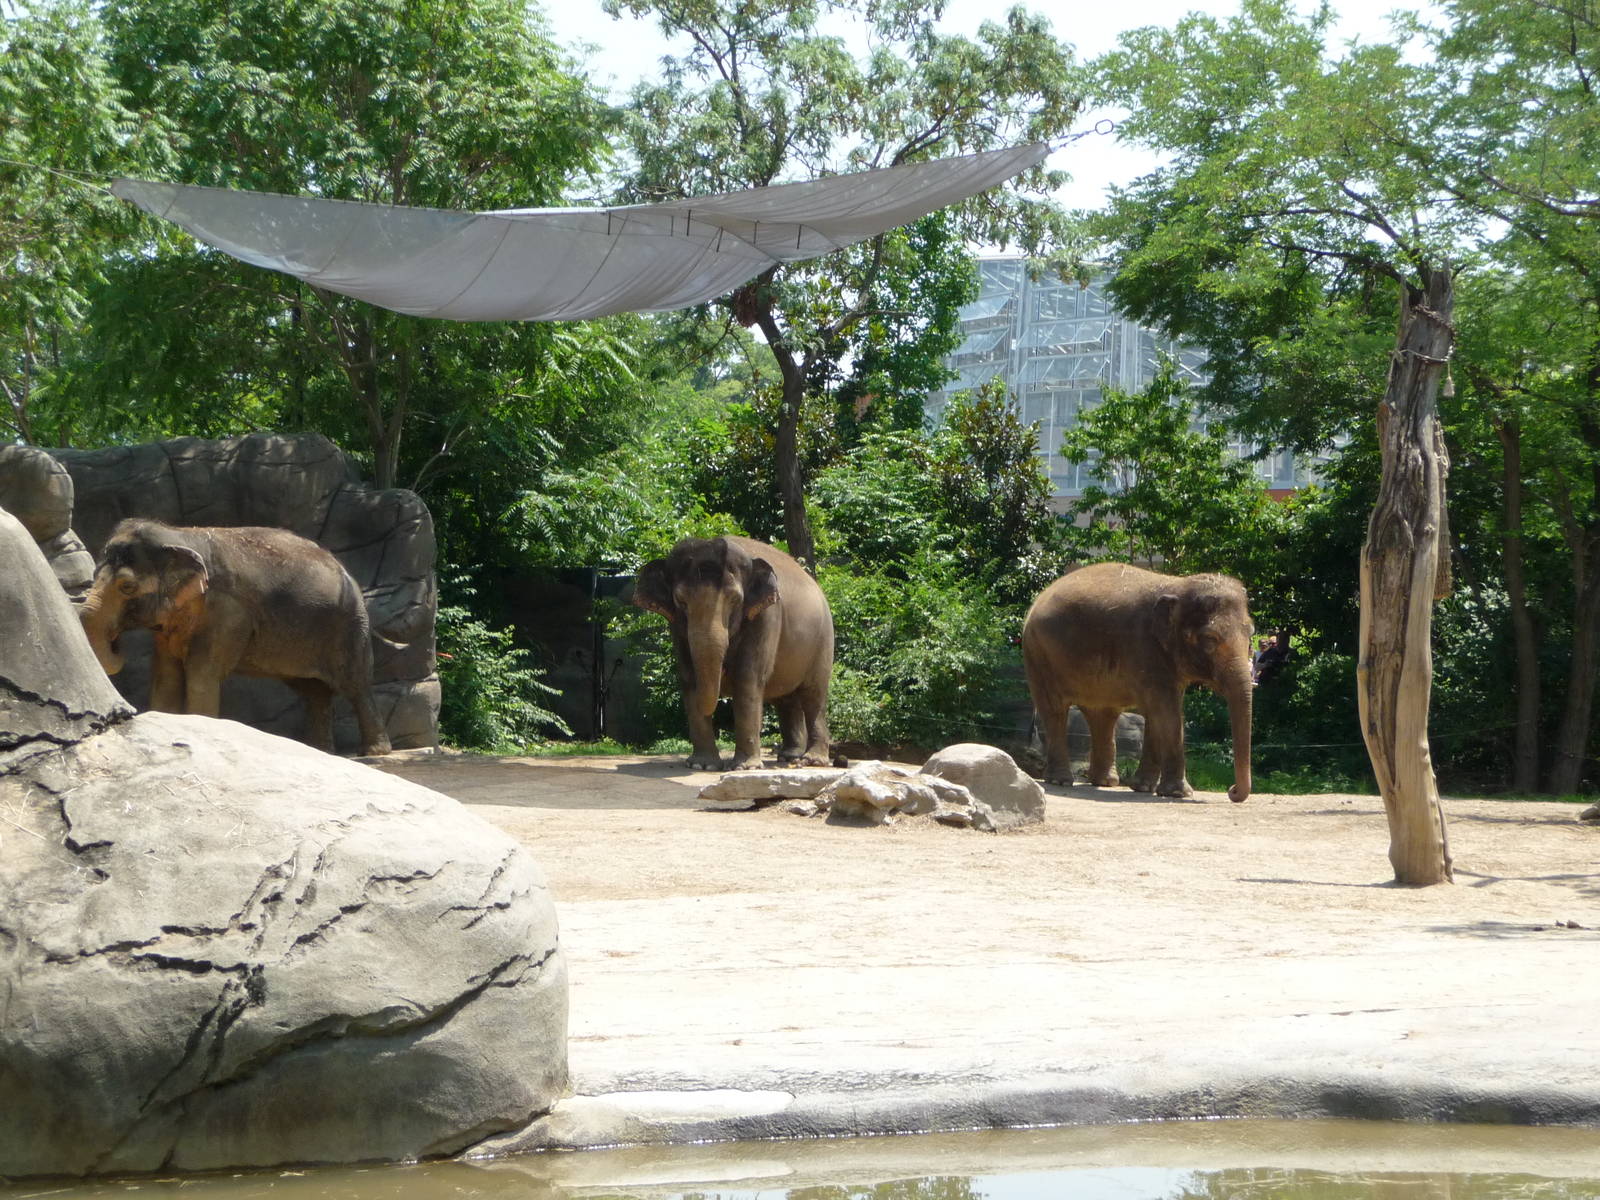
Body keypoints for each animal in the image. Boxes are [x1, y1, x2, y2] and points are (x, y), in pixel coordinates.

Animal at [79, 518, 391, 756]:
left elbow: (201, 673)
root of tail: (344, 570)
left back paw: (374, 752)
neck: (179, 535)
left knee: (355, 684)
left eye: (127, 587)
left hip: (349, 624)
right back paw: (320, 751)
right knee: (315, 692)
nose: (117, 642)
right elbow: (166, 675)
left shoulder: (227, 611)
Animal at [634, 535, 833, 771]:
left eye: (735, 600)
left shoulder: (766, 616)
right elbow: (689, 677)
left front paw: (745, 767)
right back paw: (789, 757)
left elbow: (747, 679)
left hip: (823, 640)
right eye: (680, 601)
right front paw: (703, 765)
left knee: (813, 694)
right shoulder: (675, 626)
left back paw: (812, 760)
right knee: (786, 699)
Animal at [1022, 562, 1254, 802]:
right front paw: (1178, 794)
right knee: (1055, 710)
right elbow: (1166, 712)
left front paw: (1144, 788)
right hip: (1038, 654)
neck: (1178, 585)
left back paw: (1105, 782)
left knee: (1102, 714)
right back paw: (1060, 780)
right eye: (1210, 639)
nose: (1232, 791)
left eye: (1251, 636)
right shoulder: (1144, 645)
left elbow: (1158, 713)